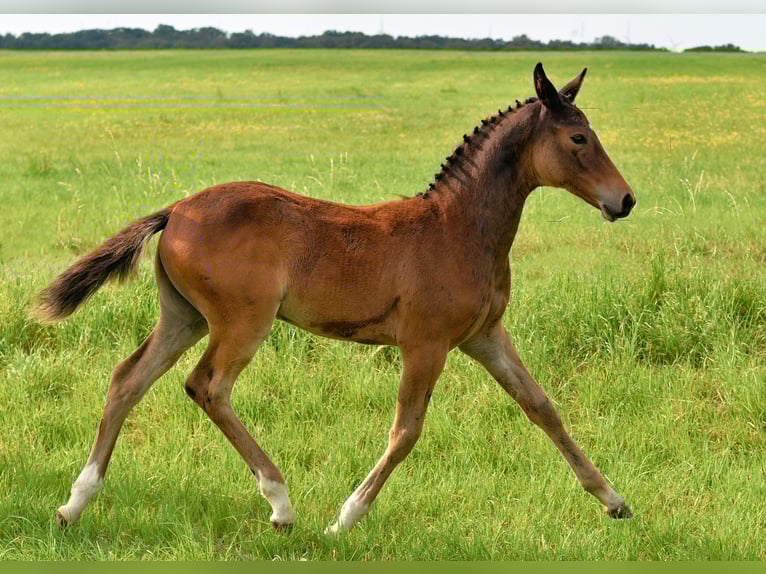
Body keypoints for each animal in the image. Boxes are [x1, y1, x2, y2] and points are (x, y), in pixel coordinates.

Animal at [36, 63, 635, 532]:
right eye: (578, 140)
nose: (625, 199)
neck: (458, 228)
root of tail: (176, 210)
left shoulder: (484, 336)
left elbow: (541, 406)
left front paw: (614, 500)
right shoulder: (425, 345)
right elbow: (406, 430)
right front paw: (345, 518)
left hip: (184, 317)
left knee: (128, 379)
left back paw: (74, 504)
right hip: (241, 321)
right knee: (207, 386)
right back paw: (281, 504)